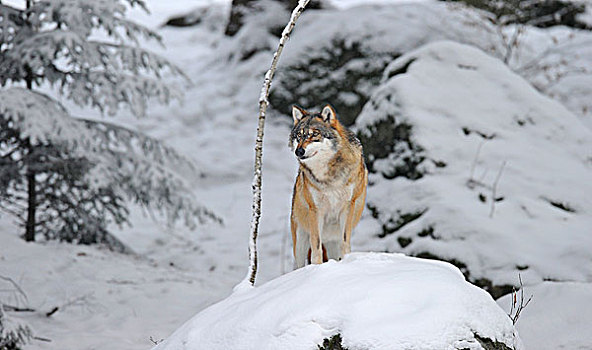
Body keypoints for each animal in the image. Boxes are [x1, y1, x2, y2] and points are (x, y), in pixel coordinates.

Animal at [290, 104, 368, 268]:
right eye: (299, 136)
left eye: (314, 134)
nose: (299, 151)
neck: (329, 176)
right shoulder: (316, 210)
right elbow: (316, 247)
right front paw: (317, 268)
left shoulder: (348, 207)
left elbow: (345, 242)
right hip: (300, 241)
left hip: (333, 240)